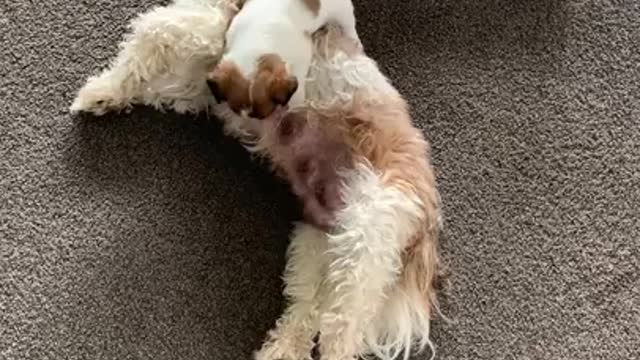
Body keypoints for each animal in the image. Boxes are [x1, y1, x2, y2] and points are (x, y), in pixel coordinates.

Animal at [208, 0, 362, 119]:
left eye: (262, 117)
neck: (255, 46)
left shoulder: (303, 52)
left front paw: (295, 103)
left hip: (341, 10)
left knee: (349, 24)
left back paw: (355, 42)